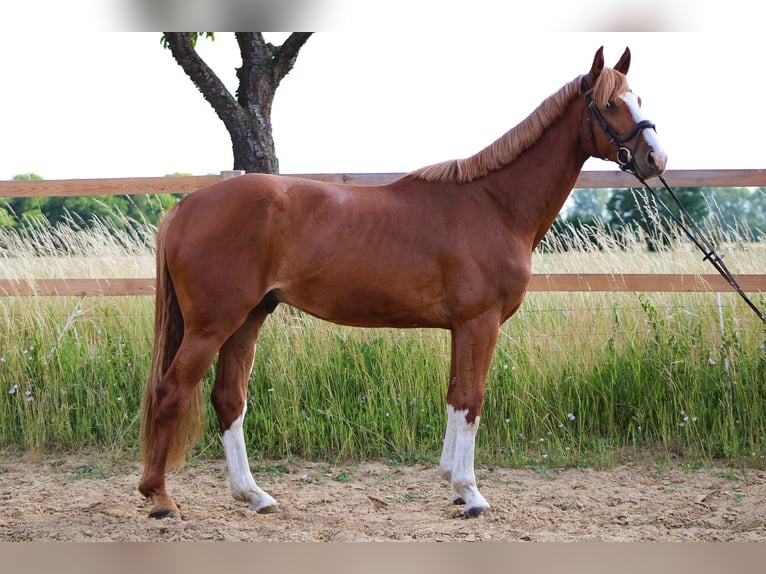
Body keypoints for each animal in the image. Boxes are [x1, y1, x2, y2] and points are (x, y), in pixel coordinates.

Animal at [138, 47, 667, 519]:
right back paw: (161, 499)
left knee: (229, 400)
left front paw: (453, 486)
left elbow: (455, 398)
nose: (655, 158)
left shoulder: (462, 327)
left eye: (639, 97)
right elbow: (471, 401)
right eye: (611, 103)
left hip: (248, 319)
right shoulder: (480, 322)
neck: (495, 203)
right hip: (213, 325)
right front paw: (471, 493)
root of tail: (187, 206)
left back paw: (254, 496)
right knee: (170, 392)